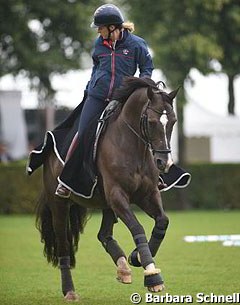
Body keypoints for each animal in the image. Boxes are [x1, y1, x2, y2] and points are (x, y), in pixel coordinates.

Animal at [35, 76, 178, 300]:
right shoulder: (117, 195)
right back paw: (69, 291)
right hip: (60, 205)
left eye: (173, 121)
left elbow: (162, 221)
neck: (131, 146)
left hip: (106, 203)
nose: (164, 163)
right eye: (152, 122)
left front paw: (137, 258)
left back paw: (123, 267)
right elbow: (137, 228)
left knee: (103, 234)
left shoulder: (147, 195)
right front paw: (153, 276)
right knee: (63, 244)